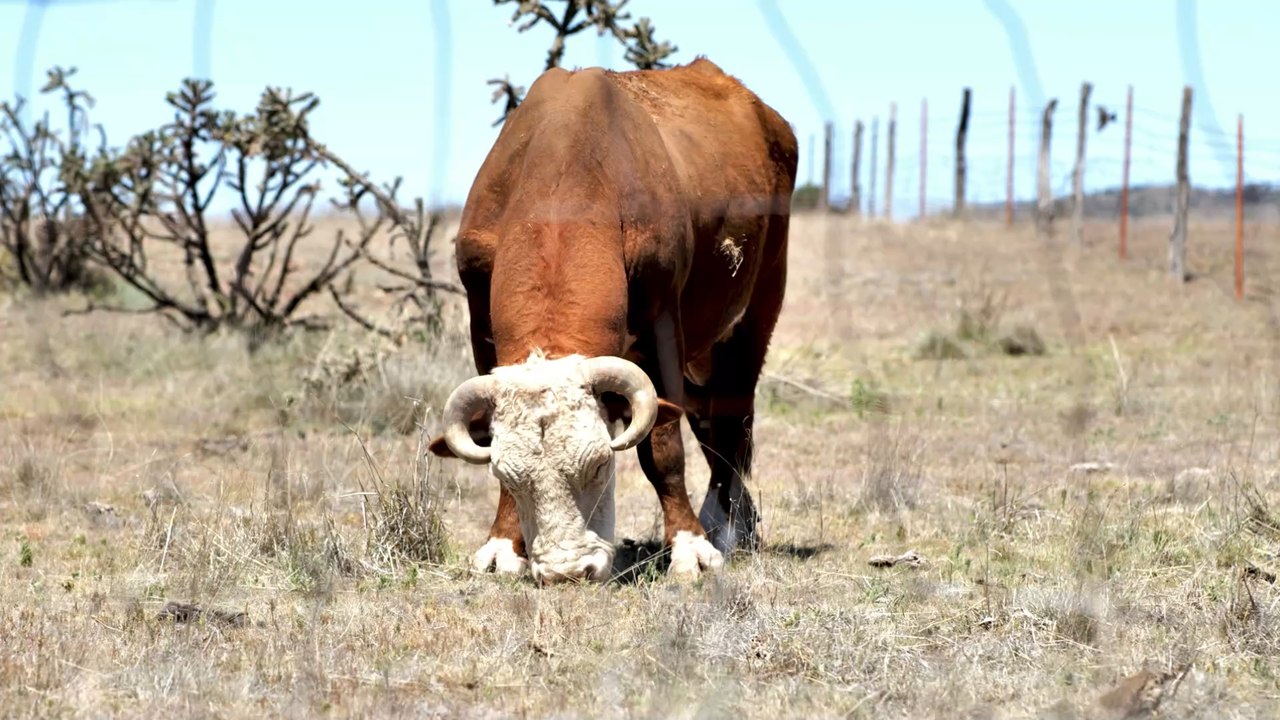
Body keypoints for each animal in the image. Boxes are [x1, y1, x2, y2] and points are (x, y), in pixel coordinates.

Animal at [429, 57, 797, 584]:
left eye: (600, 467)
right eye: (508, 476)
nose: (566, 570)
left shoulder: (663, 330)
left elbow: (661, 447)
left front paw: (689, 547)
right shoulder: (481, 322)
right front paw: (502, 545)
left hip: (753, 318)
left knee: (731, 421)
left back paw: (725, 527)